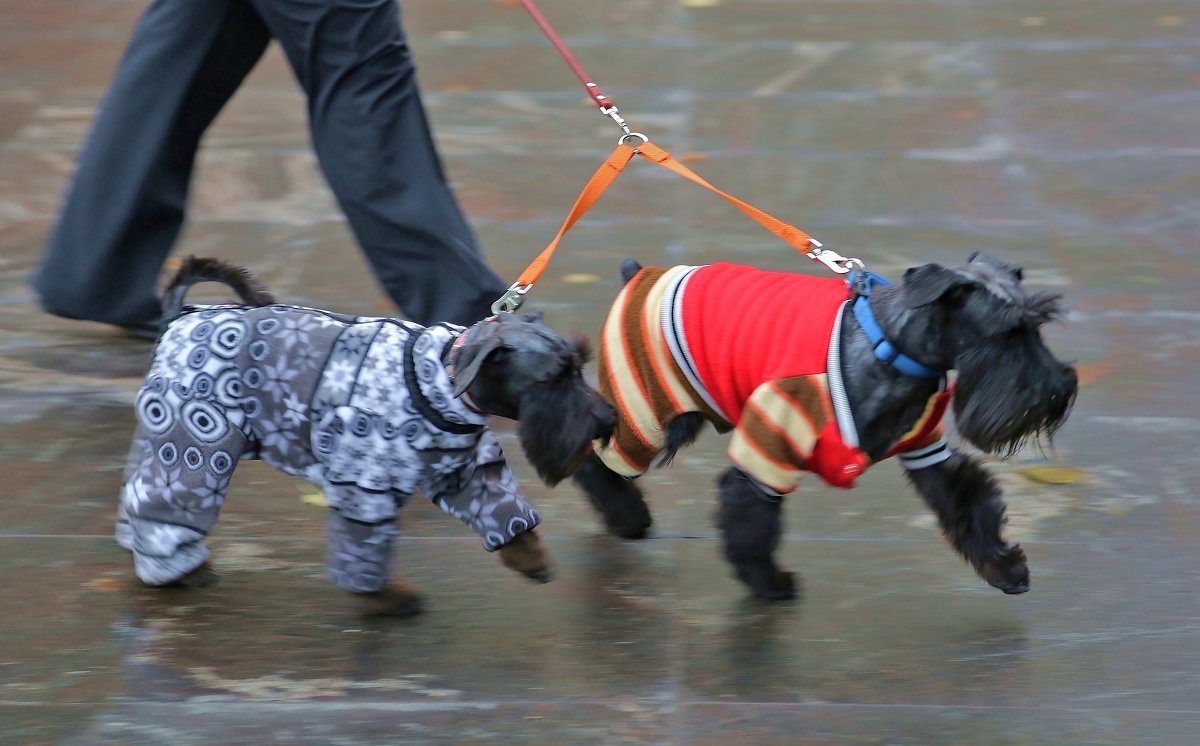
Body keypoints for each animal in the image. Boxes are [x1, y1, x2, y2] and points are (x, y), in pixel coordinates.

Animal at [117, 260, 614, 618]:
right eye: (552, 380)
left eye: (579, 366)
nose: (607, 419)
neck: (444, 376)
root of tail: (179, 319)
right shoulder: (365, 486)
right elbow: (365, 545)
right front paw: (386, 597)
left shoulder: (466, 471)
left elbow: (502, 509)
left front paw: (531, 559)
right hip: (197, 448)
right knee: (163, 506)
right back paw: (179, 568)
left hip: (173, 442)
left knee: (137, 496)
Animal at [573, 251, 1080, 602]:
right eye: (1005, 334)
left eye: (1037, 325)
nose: (1058, 390)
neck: (888, 347)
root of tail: (639, 273)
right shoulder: (765, 454)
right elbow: (751, 526)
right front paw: (768, 584)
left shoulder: (930, 455)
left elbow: (972, 508)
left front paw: (1005, 570)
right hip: (648, 414)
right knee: (597, 461)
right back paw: (630, 519)